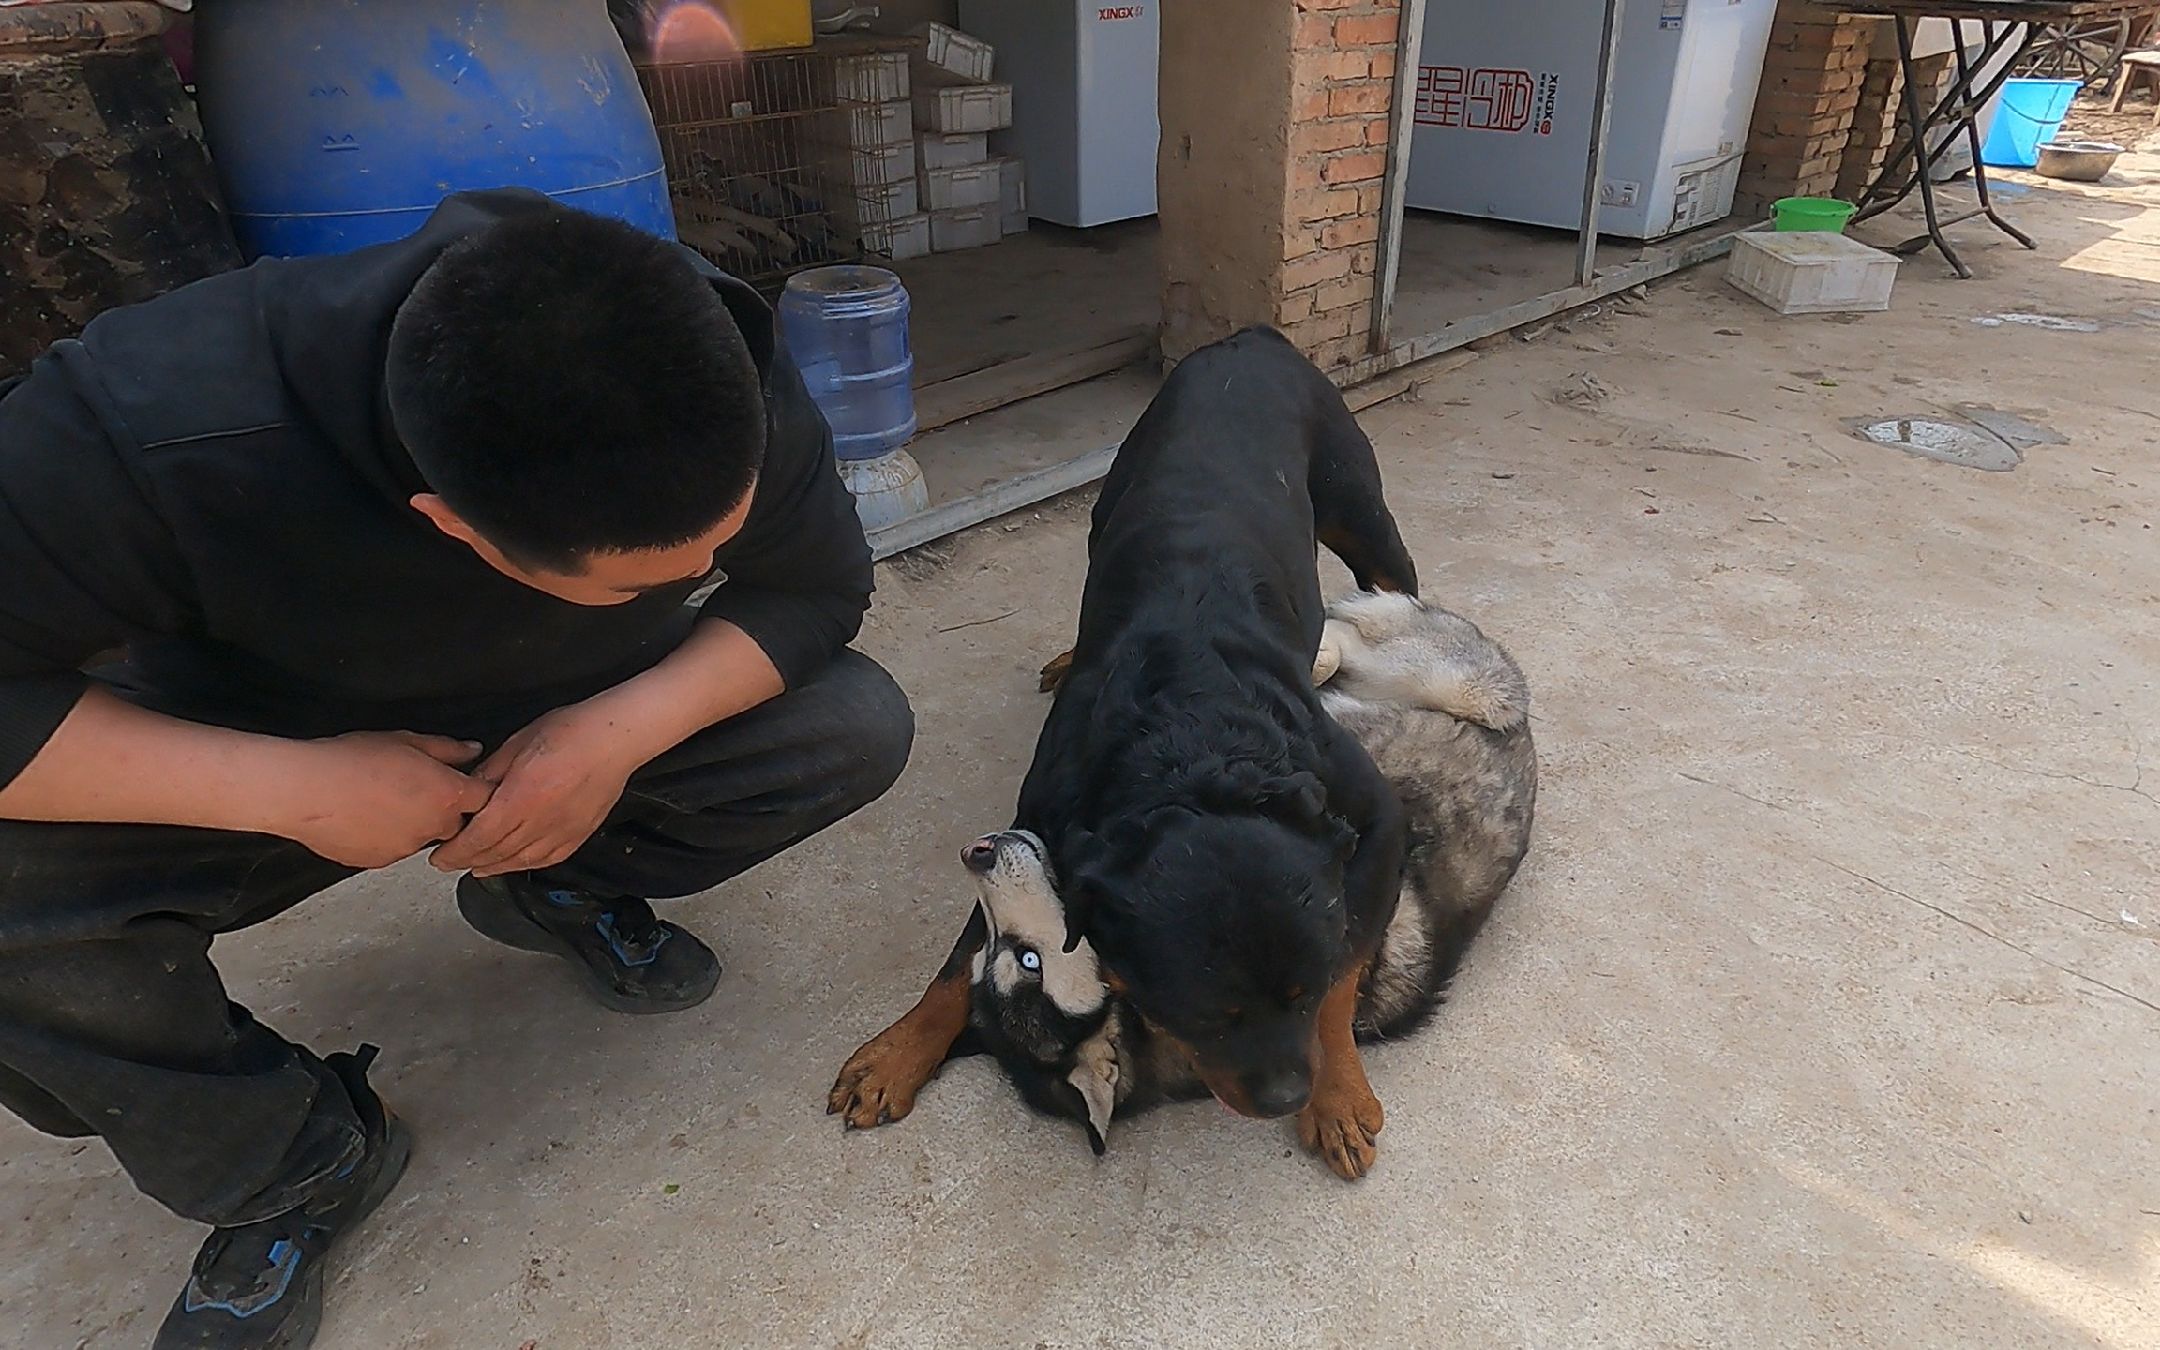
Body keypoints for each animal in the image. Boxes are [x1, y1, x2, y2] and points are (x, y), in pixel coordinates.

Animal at [833, 328, 1425, 1175]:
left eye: (1302, 996)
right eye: (1201, 1016)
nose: (1285, 1097)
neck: (1191, 743)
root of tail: (1250, 339)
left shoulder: (1371, 818)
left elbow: (1349, 959)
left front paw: (1340, 1093)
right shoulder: (1040, 825)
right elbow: (960, 961)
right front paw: (897, 1053)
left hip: (1355, 503)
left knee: (1396, 581)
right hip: (1109, 501)